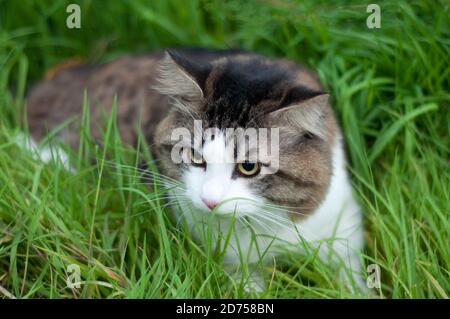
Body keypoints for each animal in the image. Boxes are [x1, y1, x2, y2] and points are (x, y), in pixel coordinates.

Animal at [24, 47, 366, 292]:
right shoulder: (233, 265)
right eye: (193, 156)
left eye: (249, 167)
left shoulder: (344, 234)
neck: (266, 227)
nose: (209, 201)